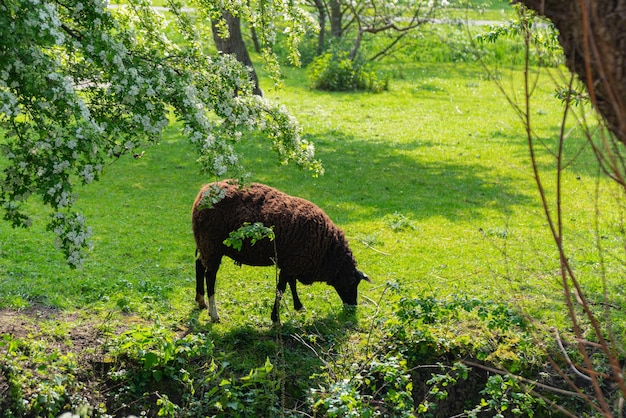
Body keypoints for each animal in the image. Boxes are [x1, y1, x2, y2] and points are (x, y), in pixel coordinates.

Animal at [190, 180, 366, 324]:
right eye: (352, 282)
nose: (353, 307)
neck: (326, 252)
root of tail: (203, 193)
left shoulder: (291, 262)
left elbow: (291, 284)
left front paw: (299, 306)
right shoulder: (292, 263)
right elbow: (281, 289)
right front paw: (276, 318)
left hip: (204, 243)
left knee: (199, 265)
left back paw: (200, 300)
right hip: (212, 244)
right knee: (210, 277)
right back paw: (214, 313)